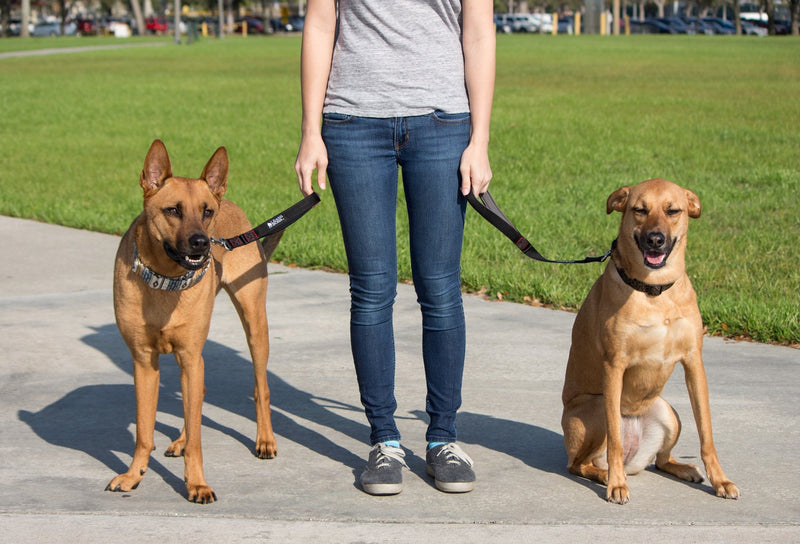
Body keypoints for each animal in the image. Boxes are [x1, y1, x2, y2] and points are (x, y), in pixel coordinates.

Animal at [107, 139, 278, 502]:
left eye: (206, 211)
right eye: (173, 210)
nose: (201, 242)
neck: (165, 280)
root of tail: (231, 203)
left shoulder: (189, 355)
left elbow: (200, 438)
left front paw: (196, 483)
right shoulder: (144, 361)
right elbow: (144, 430)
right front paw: (133, 475)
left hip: (255, 325)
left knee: (261, 388)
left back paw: (265, 440)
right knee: (198, 396)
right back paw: (182, 439)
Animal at [564, 180, 736, 506]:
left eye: (673, 210)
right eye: (640, 210)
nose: (656, 240)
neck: (654, 291)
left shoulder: (694, 362)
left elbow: (706, 434)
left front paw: (720, 480)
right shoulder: (614, 366)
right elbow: (614, 443)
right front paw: (616, 485)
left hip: (669, 414)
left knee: (661, 459)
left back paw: (681, 468)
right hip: (598, 406)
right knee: (580, 463)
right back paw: (606, 475)